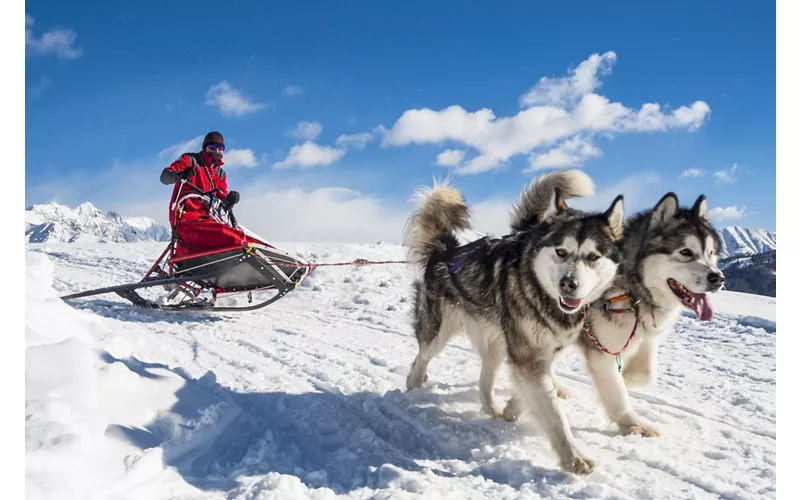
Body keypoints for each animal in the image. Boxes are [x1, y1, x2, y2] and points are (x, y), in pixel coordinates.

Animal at [406, 170, 624, 474]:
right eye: (561, 252)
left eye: (593, 257)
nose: (569, 284)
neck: (541, 293)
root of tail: (444, 251)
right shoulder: (529, 356)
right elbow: (555, 415)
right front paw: (574, 458)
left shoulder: (542, 354)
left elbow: (537, 392)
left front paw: (512, 409)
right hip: (439, 331)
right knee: (421, 357)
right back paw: (413, 387)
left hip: (496, 344)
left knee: (484, 382)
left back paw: (493, 409)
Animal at [556, 191, 724, 438]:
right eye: (685, 252)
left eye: (711, 253)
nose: (718, 278)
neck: (632, 286)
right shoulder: (601, 350)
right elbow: (618, 394)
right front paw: (633, 425)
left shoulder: (642, 337)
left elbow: (644, 374)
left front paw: (624, 380)